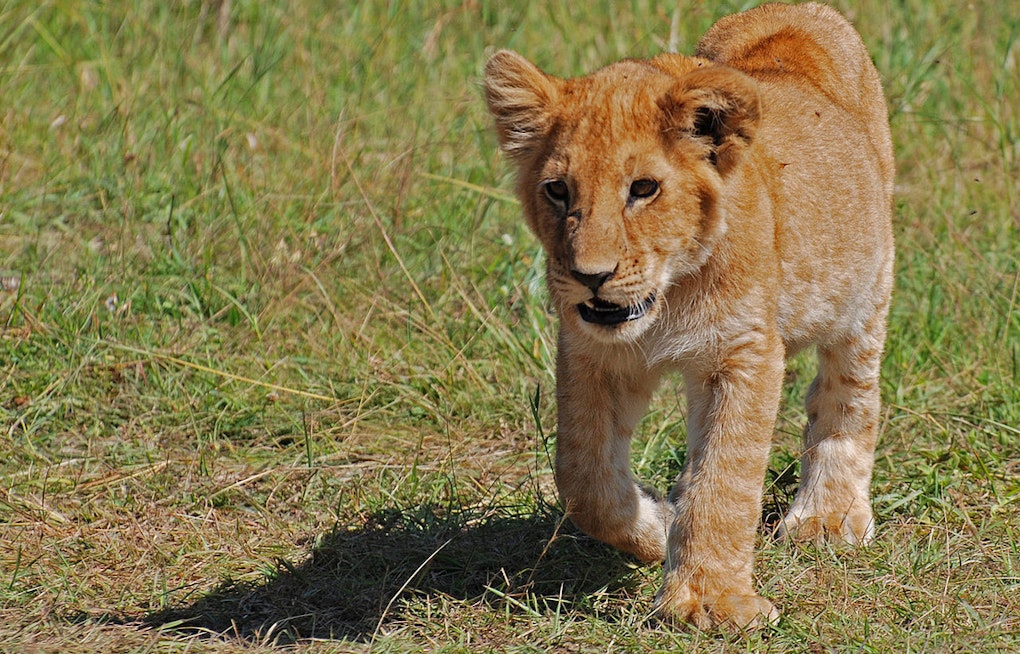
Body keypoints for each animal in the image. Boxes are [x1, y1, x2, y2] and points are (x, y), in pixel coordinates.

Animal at [483, 2, 894, 628]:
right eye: (557, 190)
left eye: (643, 188)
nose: (590, 275)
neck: (669, 296)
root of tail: (796, 9)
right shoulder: (593, 351)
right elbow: (584, 481)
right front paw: (657, 528)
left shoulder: (744, 353)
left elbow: (724, 480)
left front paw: (709, 601)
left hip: (867, 288)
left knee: (847, 394)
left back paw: (829, 517)